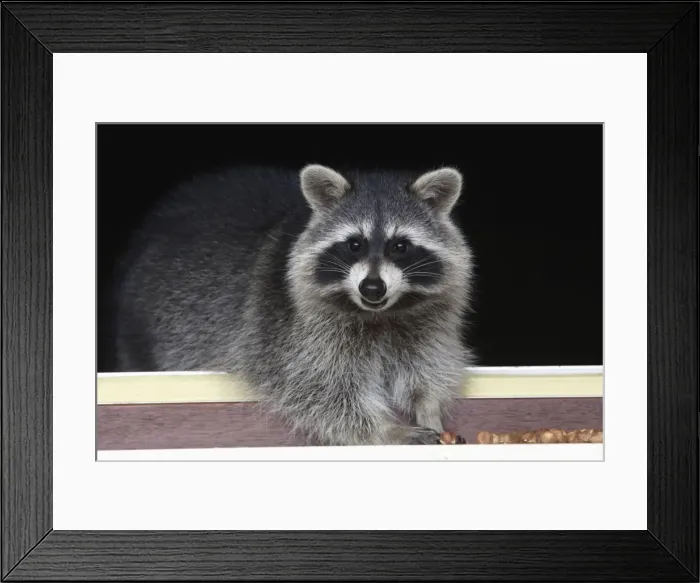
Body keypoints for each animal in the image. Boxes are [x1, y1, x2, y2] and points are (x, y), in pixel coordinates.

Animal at [113, 163, 475, 446]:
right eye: (354, 245)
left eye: (400, 246)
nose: (372, 287)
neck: (380, 313)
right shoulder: (287, 330)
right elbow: (320, 390)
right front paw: (385, 430)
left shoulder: (428, 320)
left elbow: (427, 365)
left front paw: (429, 407)